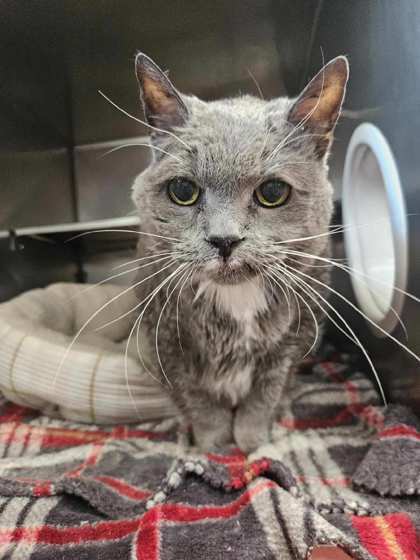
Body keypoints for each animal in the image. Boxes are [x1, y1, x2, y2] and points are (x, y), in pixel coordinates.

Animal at [131, 52, 348, 452]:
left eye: (273, 192)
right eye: (182, 190)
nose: (224, 239)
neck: (236, 301)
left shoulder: (293, 343)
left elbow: (264, 396)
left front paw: (252, 441)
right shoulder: (165, 342)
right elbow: (198, 400)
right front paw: (213, 443)